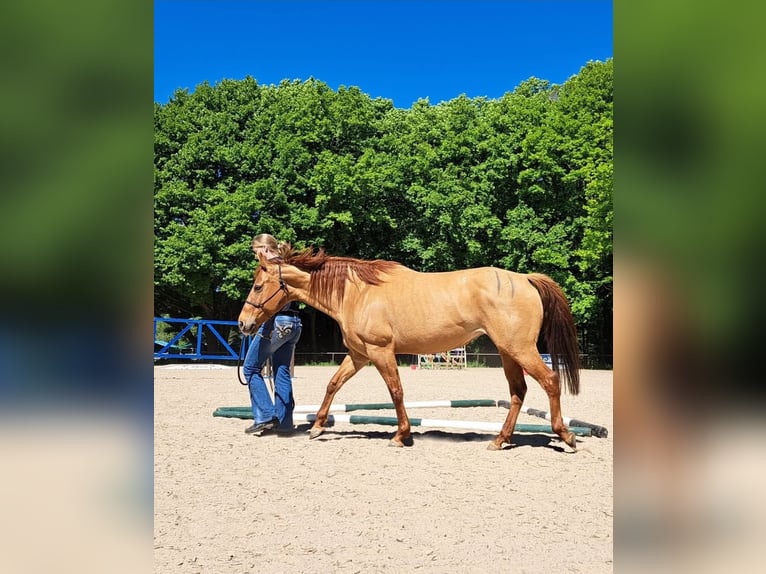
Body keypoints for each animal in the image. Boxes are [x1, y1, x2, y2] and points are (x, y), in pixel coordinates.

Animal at [238, 247, 581, 451]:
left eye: (257, 285)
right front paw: (318, 426)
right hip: (509, 353)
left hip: (520, 349)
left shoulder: (380, 352)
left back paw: (566, 435)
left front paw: (401, 435)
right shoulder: (360, 355)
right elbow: (333, 384)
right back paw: (500, 439)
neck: (357, 293)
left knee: (550, 381)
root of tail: (524, 279)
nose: (243, 323)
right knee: (518, 392)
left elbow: (396, 391)